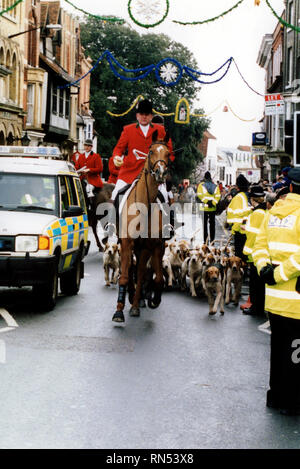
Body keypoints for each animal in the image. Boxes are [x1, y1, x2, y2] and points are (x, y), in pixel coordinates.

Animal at [112, 131, 170, 322]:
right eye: (151, 151)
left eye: (168, 153)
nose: (160, 173)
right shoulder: (127, 242)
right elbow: (124, 275)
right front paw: (119, 311)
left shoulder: (154, 245)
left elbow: (157, 278)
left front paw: (152, 299)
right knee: (130, 269)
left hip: (145, 248)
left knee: (140, 271)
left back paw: (137, 301)